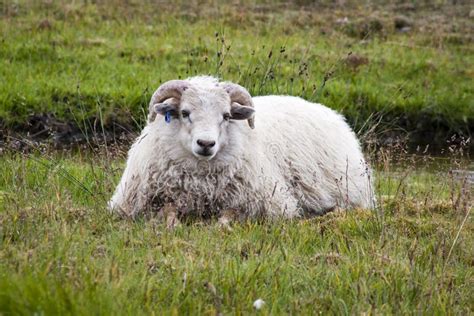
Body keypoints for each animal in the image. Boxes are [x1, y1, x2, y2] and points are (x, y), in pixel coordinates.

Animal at [109, 75, 376, 223]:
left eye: (226, 116)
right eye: (184, 113)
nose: (206, 144)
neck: (200, 182)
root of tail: (330, 112)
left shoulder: (264, 202)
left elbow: (228, 218)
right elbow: (168, 213)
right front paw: (170, 223)